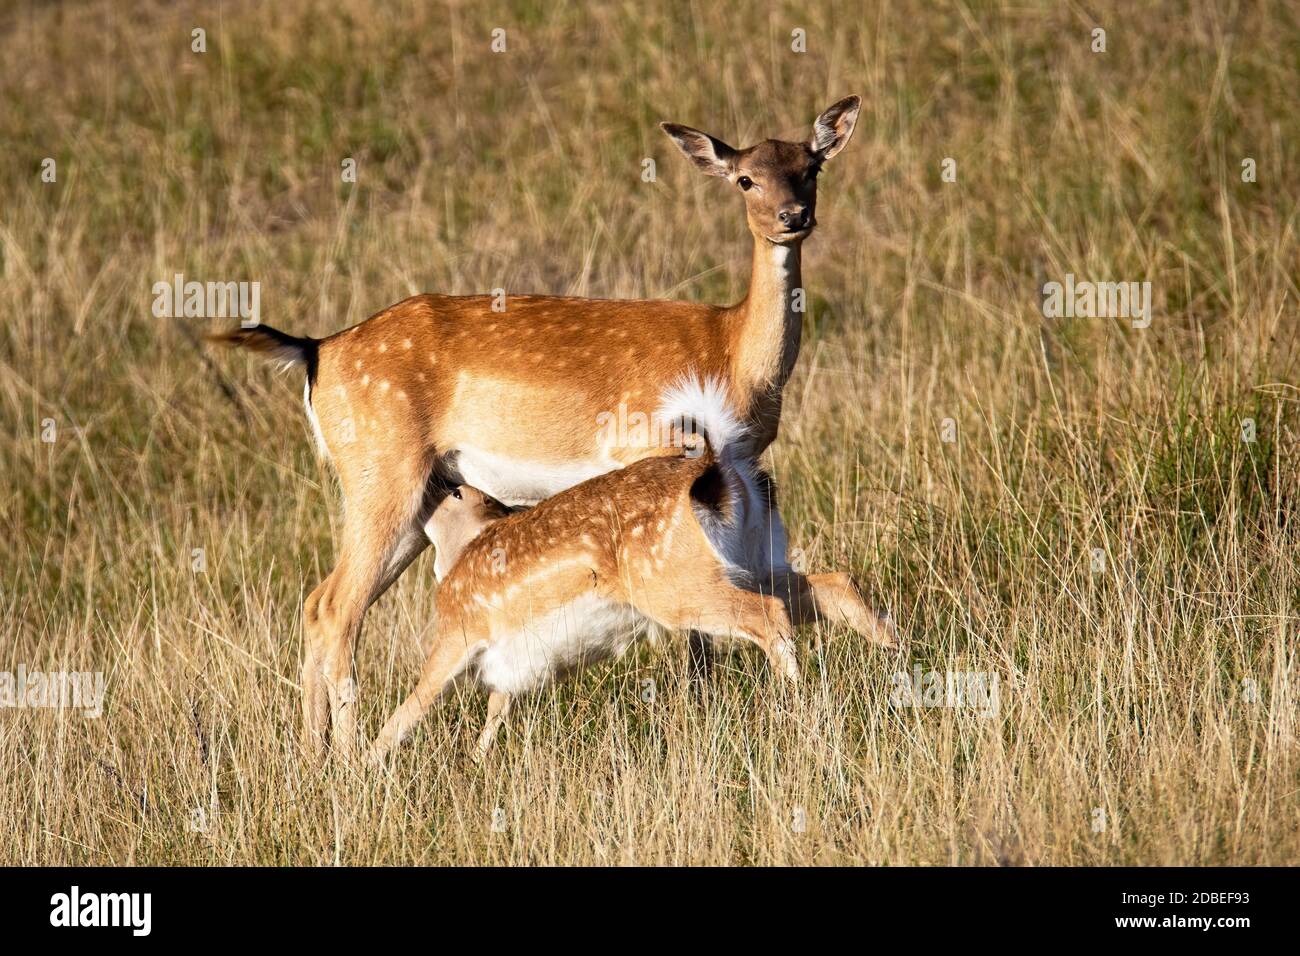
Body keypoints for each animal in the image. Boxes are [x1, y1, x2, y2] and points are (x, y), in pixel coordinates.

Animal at [368, 379, 800, 764]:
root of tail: (717, 472)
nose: (435, 477)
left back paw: (790, 699)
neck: (458, 556)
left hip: (676, 586)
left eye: (457, 492)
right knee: (807, 591)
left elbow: (413, 706)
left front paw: (365, 764)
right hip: (753, 558)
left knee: (769, 613)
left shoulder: (457, 634)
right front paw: (477, 761)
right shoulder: (509, 667)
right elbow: (496, 708)